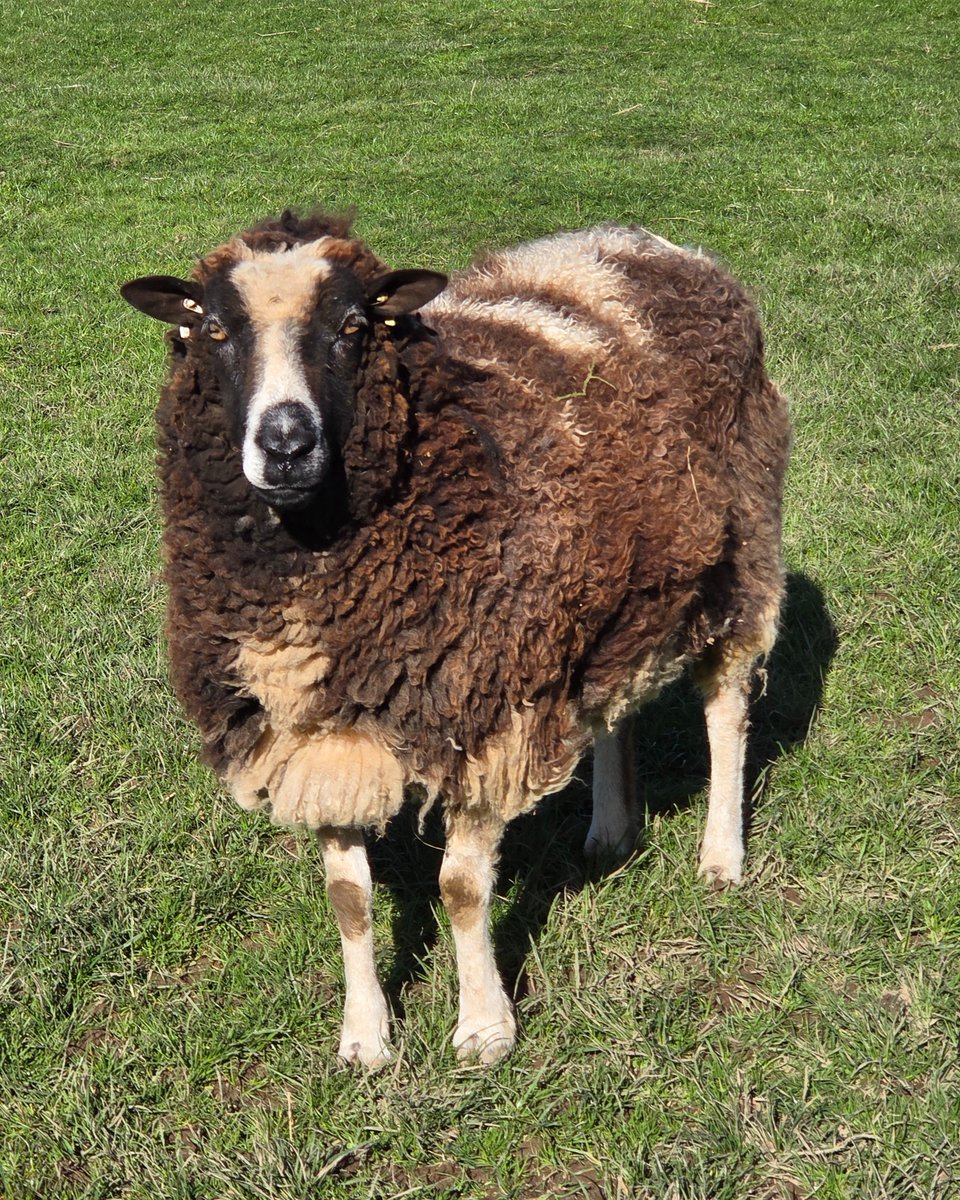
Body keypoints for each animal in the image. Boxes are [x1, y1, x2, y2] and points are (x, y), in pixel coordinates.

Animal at [121, 209, 790, 1068]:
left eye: (354, 326)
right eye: (211, 328)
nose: (286, 445)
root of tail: (654, 245)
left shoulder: (481, 704)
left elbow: (463, 890)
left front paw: (483, 1029)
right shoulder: (317, 731)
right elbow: (348, 898)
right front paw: (365, 1039)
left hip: (742, 547)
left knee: (727, 709)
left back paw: (720, 857)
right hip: (605, 589)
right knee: (614, 703)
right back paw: (611, 830)